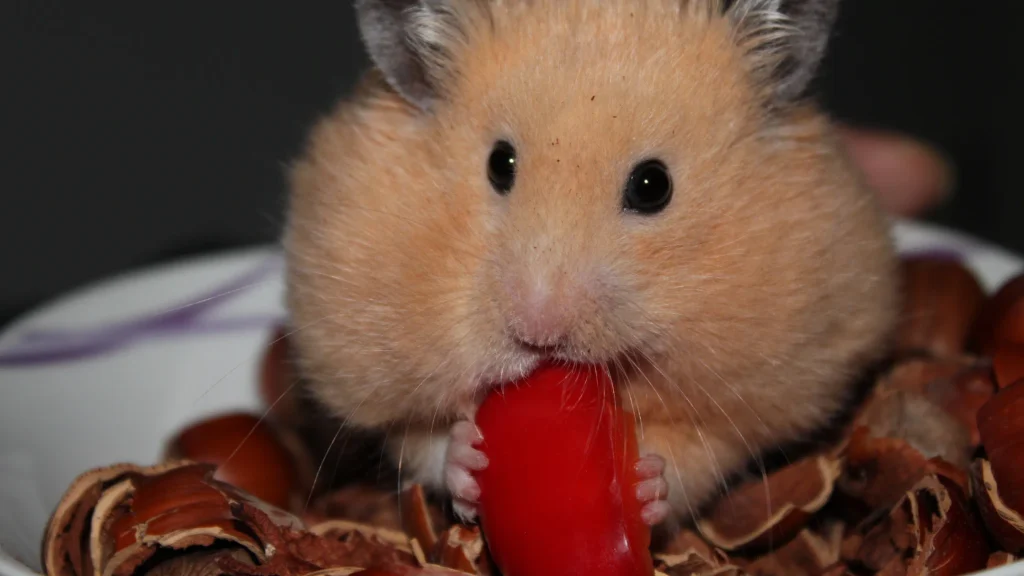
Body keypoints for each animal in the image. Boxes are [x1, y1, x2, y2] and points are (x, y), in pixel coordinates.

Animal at [282, 0, 899, 530]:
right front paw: (468, 458)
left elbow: (697, 452)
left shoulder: (752, 394)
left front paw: (648, 484)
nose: (538, 334)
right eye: (499, 164)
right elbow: (419, 438)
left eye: (653, 186)